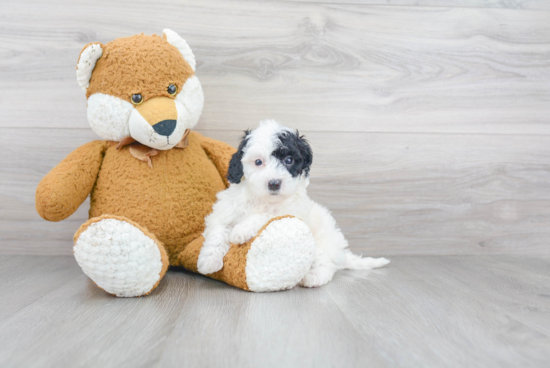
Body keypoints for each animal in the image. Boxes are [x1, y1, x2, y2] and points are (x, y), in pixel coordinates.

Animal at [196, 120, 390, 288]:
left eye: (288, 160)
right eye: (258, 162)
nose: (274, 183)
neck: (264, 198)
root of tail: (341, 253)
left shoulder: (291, 212)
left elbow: (266, 214)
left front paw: (240, 231)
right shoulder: (225, 210)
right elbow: (217, 231)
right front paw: (209, 261)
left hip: (322, 242)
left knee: (327, 265)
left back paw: (314, 277)